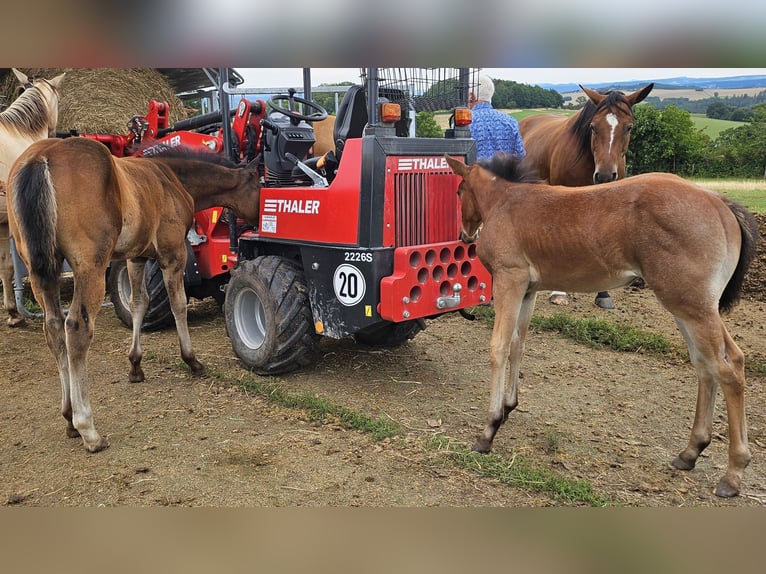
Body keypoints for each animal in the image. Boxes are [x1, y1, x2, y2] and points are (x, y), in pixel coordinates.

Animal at [7, 137, 261, 452]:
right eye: (260, 185)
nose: (261, 218)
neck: (173, 178)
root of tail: (40, 158)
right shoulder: (173, 252)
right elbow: (178, 304)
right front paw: (191, 360)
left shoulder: (136, 257)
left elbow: (139, 303)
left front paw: (135, 365)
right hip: (89, 266)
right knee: (76, 328)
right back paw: (87, 428)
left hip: (40, 269)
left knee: (53, 328)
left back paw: (68, 418)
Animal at [445, 153, 760, 498]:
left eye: (459, 191)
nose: (464, 235)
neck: (506, 201)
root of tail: (720, 202)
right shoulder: (528, 289)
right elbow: (519, 343)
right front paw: (509, 406)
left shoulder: (509, 279)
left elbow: (499, 348)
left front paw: (489, 430)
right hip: (692, 307)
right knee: (713, 363)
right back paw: (690, 451)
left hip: (692, 307)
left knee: (726, 370)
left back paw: (733, 473)